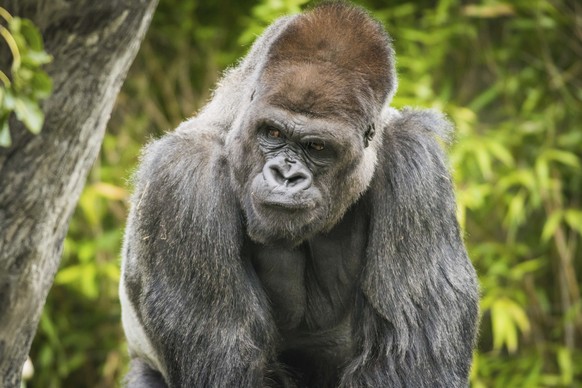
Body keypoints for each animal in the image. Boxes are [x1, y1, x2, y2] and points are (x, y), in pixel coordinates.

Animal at [118, 3, 480, 388]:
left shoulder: (416, 164)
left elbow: (412, 363)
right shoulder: (183, 179)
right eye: (273, 133)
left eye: (317, 147)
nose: (287, 176)